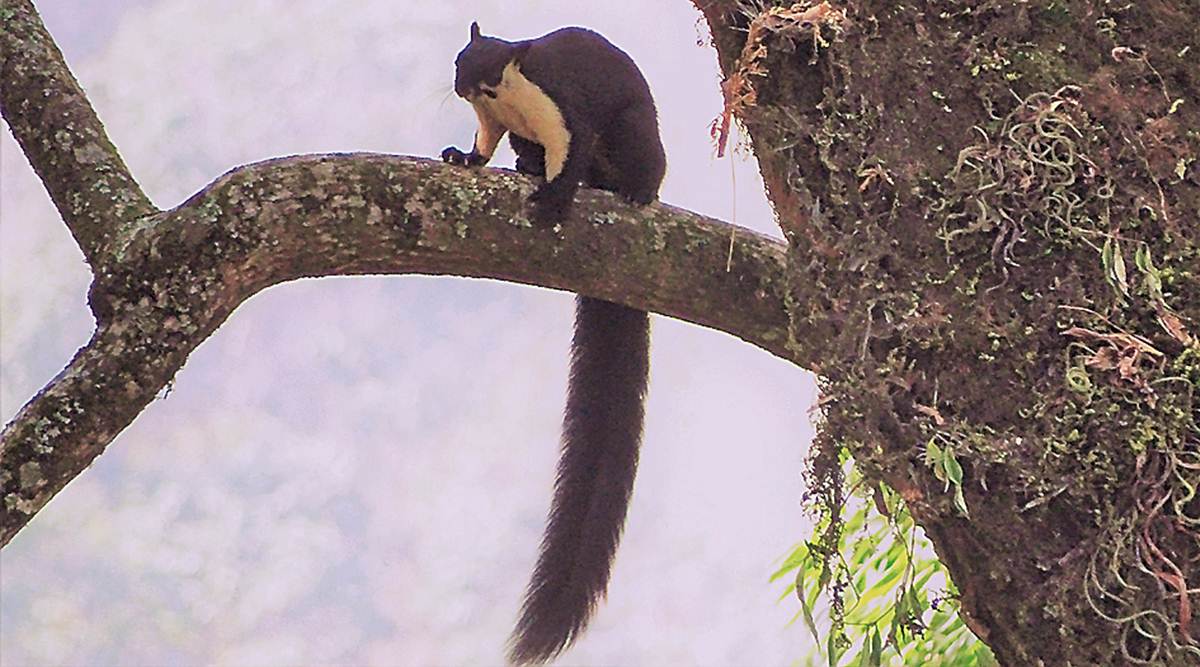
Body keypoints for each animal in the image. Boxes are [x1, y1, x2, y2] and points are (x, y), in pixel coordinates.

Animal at [441, 22, 667, 667]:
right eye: (461, 59)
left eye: (493, 68)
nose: (463, 86)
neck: (510, 104)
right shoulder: (498, 123)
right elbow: (485, 146)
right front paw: (464, 156)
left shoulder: (563, 108)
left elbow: (573, 149)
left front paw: (555, 199)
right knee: (530, 155)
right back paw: (525, 170)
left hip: (636, 131)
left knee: (634, 167)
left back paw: (633, 192)